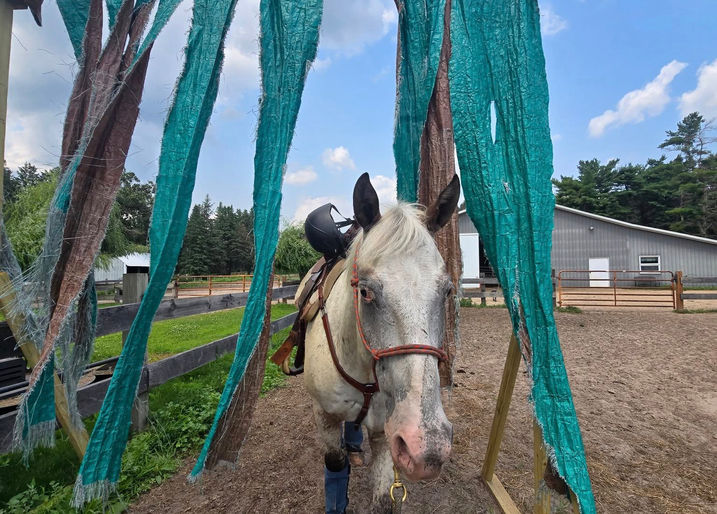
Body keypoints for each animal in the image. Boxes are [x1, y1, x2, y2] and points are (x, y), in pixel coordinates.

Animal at [303, 173, 461, 513]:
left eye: (447, 291)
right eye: (365, 292)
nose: (426, 448)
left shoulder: (385, 432)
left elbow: (384, 498)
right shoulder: (324, 417)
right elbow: (335, 465)